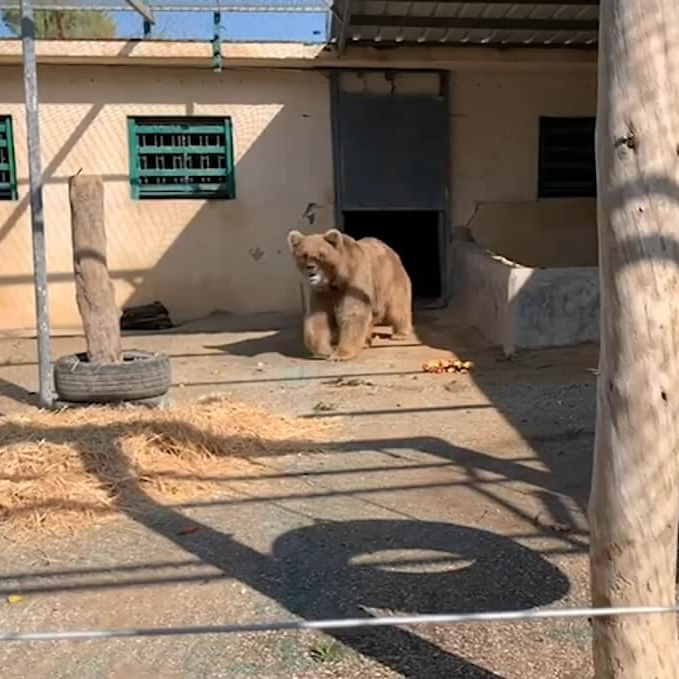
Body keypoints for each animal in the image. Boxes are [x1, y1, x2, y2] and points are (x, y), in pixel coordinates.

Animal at [287, 228, 413, 361]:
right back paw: (366, 341)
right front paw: (325, 350)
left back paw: (400, 333)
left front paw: (340, 354)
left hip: (390, 280)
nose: (311, 268)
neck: (335, 280)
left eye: (321, 255)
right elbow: (318, 317)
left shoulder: (354, 281)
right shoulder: (323, 292)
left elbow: (353, 313)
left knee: (397, 308)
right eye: (304, 255)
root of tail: (389, 249)